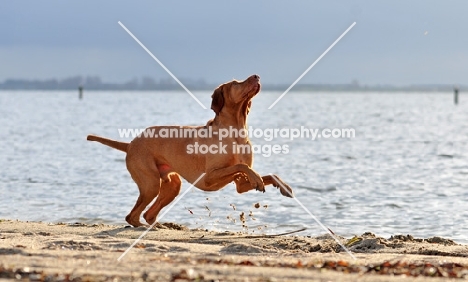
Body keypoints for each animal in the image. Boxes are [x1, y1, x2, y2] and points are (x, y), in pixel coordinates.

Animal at [87, 75, 292, 227]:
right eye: (235, 83)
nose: (256, 76)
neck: (235, 132)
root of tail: (130, 143)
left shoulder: (241, 186)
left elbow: (266, 174)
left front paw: (284, 187)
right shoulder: (210, 177)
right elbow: (242, 167)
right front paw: (258, 178)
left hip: (172, 185)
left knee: (148, 214)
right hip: (150, 184)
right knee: (132, 216)